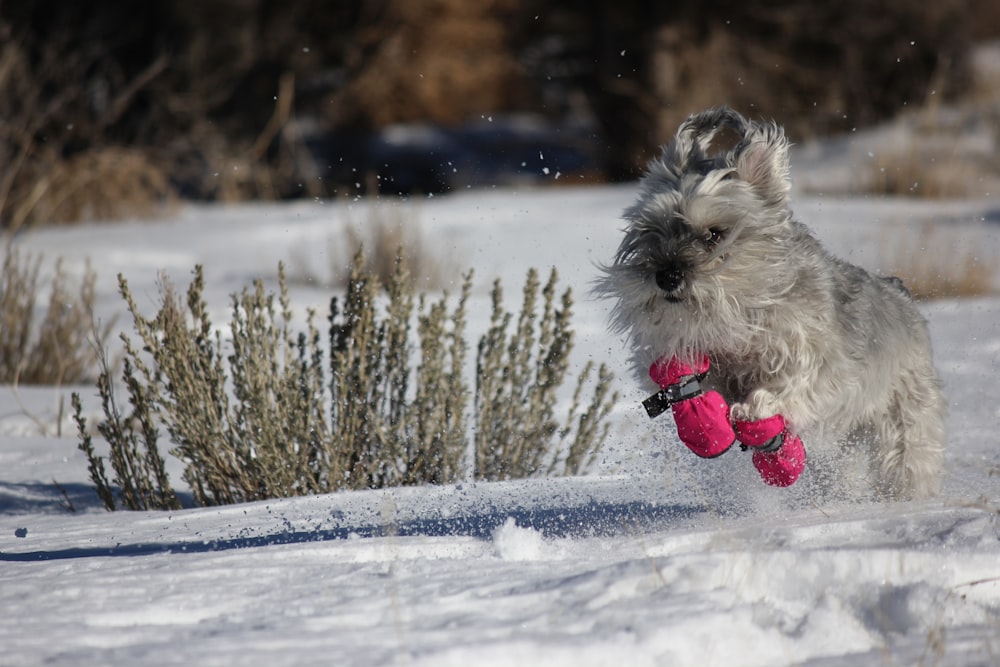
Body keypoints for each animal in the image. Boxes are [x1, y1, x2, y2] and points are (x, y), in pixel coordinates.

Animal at [592, 105, 944, 500]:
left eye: (715, 234)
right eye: (653, 229)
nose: (666, 276)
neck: (741, 307)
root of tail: (900, 293)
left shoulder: (816, 360)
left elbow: (791, 383)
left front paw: (753, 410)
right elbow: (694, 382)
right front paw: (702, 413)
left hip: (904, 419)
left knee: (907, 459)